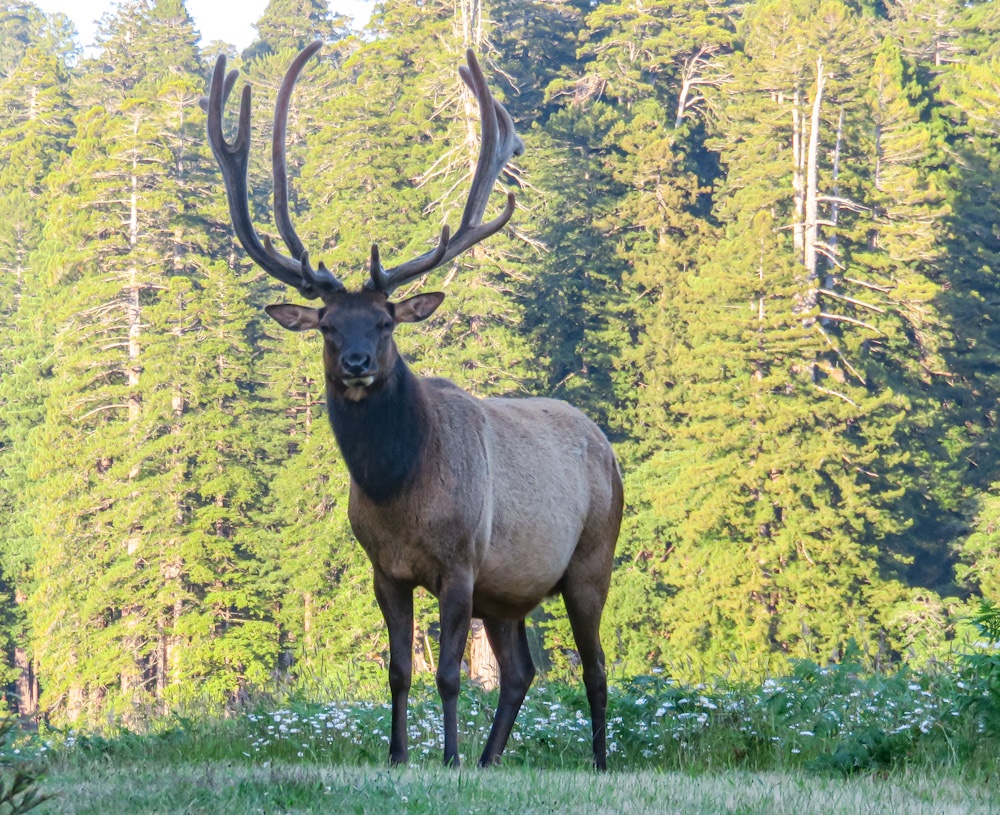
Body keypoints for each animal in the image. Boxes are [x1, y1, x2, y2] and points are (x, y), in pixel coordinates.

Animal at [204, 43, 620, 772]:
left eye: (385, 322)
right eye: (327, 325)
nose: (357, 363)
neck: (400, 491)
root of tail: (607, 445)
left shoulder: (461, 561)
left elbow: (448, 673)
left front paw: (446, 757)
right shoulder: (384, 570)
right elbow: (398, 670)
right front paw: (398, 756)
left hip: (591, 559)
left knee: (595, 667)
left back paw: (595, 762)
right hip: (509, 592)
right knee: (521, 672)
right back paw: (490, 760)